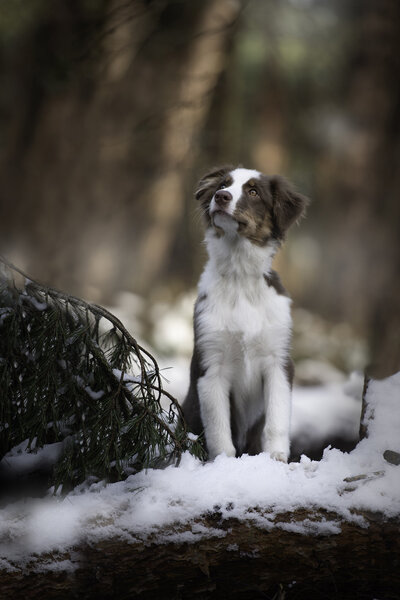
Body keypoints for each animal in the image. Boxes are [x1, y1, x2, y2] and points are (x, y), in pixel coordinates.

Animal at [183, 166, 308, 462]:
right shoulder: (210, 365)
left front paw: (276, 459)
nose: (221, 197)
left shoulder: (278, 361)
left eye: (253, 191)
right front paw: (223, 464)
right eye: (223, 184)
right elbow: (219, 429)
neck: (239, 276)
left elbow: (275, 421)